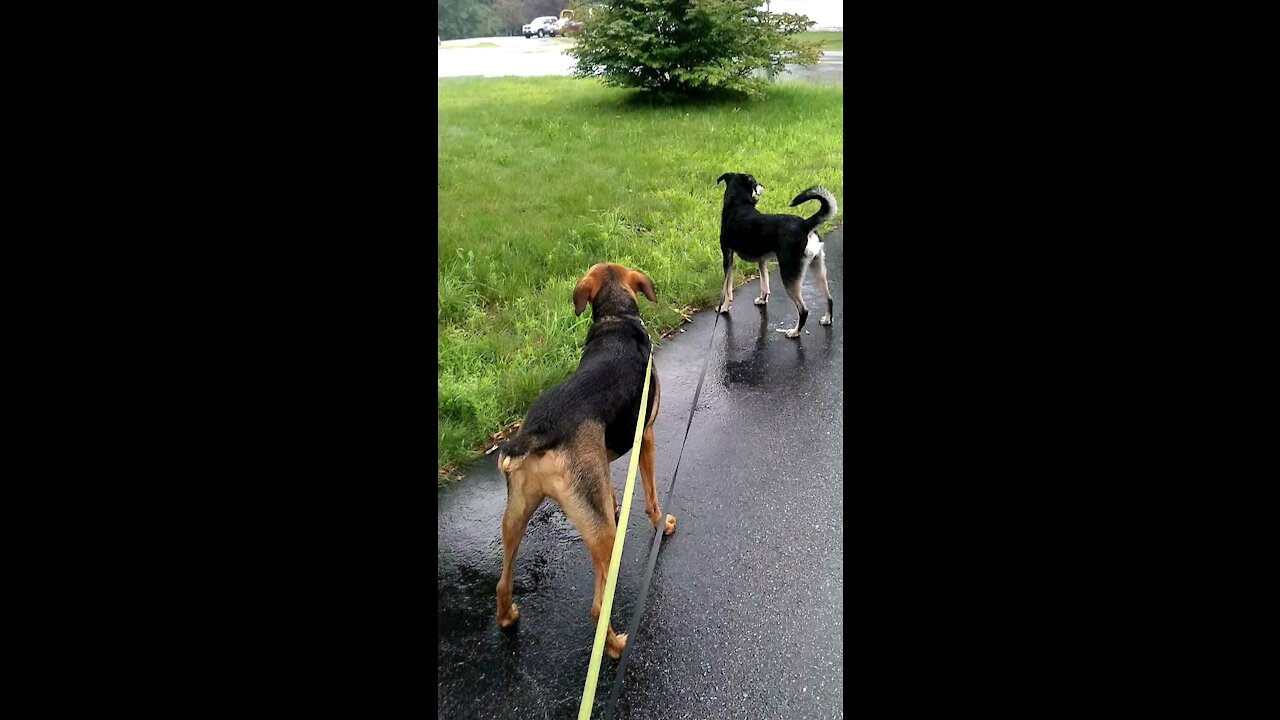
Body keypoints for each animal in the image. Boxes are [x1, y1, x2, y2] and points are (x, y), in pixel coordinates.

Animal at [494, 262, 680, 655]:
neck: (616, 320)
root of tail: (540, 431)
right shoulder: (646, 437)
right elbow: (652, 497)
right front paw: (662, 524)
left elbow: (608, 485)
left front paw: (612, 500)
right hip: (605, 540)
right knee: (597, 609)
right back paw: (616, 646)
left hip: (516, 514)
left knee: (502, 582)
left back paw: (507, 617)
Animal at [711, 170, 839, 335]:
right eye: (756, 182)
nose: (762, 186)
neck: (738, 204)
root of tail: (804, 225)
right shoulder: (761, 259)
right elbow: (764, 283)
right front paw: (762, 299)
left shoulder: (728, 256)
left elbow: (727, 289)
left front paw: (725, 307)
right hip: (818, 267)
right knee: (829, 298)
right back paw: (827, 319)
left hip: (789, 274)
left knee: (803, 310)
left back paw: (794, 332)